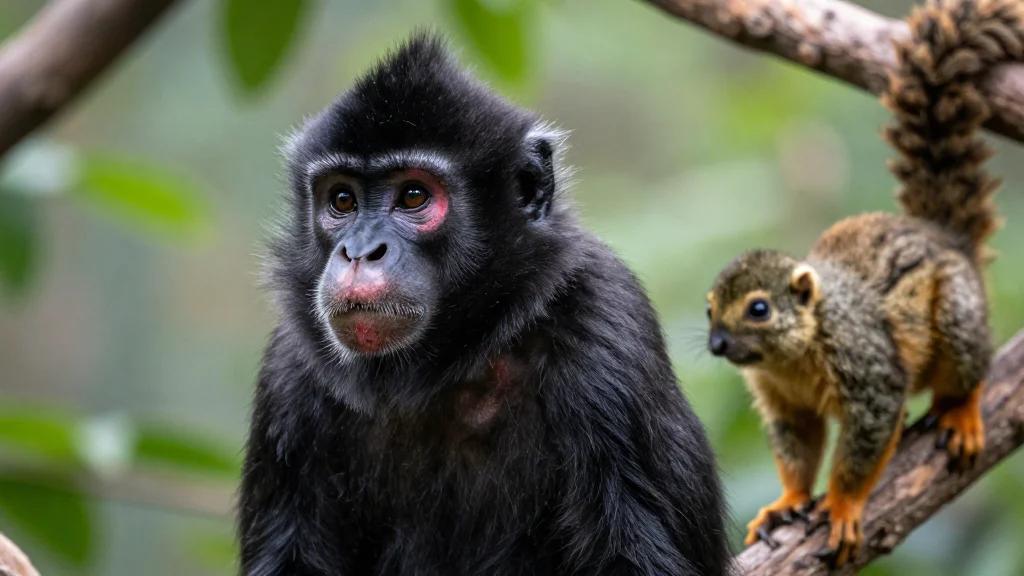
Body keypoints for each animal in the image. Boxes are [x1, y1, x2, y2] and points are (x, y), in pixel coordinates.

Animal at [705, 0, 1022, 567]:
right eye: (709, 310)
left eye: (759, 309)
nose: (717, 344)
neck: (791, 357)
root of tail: (945, 236)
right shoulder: (782, 402)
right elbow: (798, 445)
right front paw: (788, 501)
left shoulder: (870, 373)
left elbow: (864, 445)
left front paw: (841, 506)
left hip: (958, 313)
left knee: (970, 365)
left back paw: (962, 411)